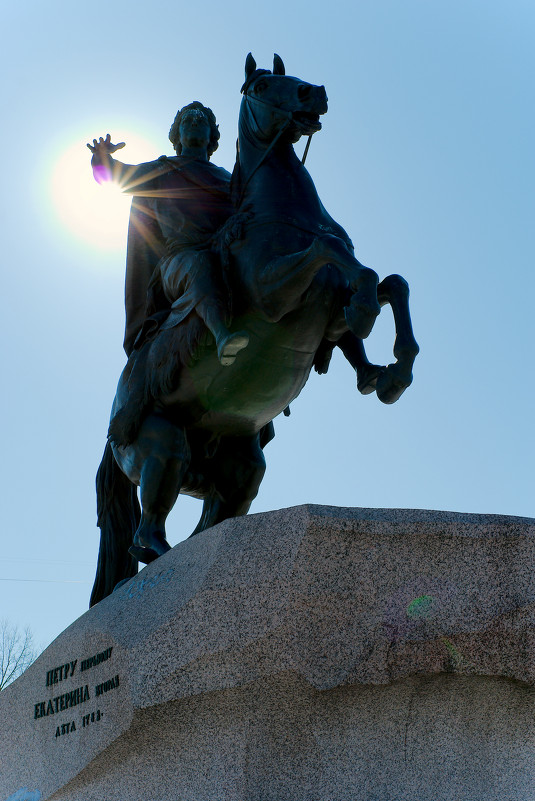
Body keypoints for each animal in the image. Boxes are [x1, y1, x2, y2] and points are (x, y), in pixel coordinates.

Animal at [91, 53, 418, 608]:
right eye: (263, 85)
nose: (315, 93)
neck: (281, 214)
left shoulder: (326, 313)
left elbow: (389, 282)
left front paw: (392, 369)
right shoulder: (274, 293)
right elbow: (338, 257)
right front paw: (368, 319)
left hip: (239, 468)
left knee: (212, 520)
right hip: (160, 443)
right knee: (145, 529)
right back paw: (155, 555)